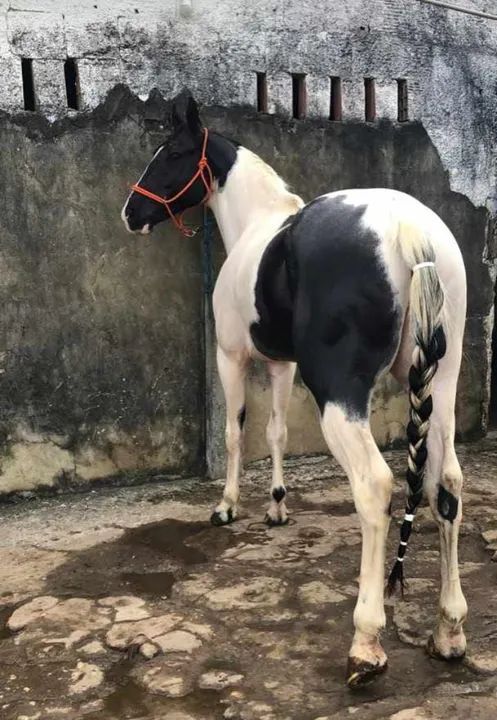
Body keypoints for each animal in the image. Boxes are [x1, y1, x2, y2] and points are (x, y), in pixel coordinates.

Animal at [121, 89, 468, 687]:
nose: (130, 213)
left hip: (340, 397)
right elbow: (278, 432)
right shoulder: (281, 367)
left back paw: (366, 643)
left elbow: (237, 434)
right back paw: (448, 631)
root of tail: (407, 228)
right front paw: (277, 506)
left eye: (172, 153)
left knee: (375, 486)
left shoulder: (232, 359)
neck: (257, 226)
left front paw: (227, 506)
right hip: (439, 387)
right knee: (445, 486)